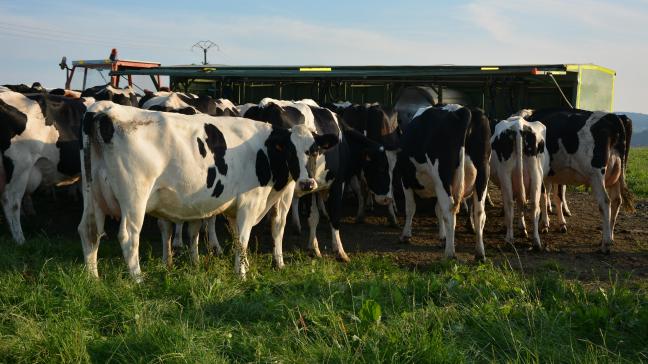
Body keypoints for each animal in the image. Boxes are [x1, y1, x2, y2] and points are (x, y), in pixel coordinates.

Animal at [78, 101, 336, 280]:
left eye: (315, 150)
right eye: (290, 151)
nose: (308, 184)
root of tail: (105, 109)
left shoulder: (234, 207)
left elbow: (235, 237)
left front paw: (243, 266)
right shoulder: (249, 202)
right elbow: (250, 236)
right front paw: (245, 274)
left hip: (92, 195)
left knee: (89, 231)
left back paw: (93, 278)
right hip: (134, 198)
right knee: (129, 236)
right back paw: (138, 279)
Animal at [394, 104, 492, 260]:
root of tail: (463, 110)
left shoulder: (406, 179)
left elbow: (410, 207)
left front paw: (405, 235)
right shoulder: (437, 185)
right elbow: (437, 209)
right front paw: (443, 236)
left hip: (443, 175)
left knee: (449, 209)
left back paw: (449, 254)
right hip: (483, 173)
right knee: (479, 212)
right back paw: (480, 253)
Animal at [492, 116, 548, 250]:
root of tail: (518, 126)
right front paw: (523, 228)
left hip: (505, 174)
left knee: (509, 204)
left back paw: (509, 239)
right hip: (536, 174)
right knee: (534, 206)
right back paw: (536, 241)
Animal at [524, 106, 636, 252]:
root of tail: (613, 117)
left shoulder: (543, 172)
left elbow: (544, 196)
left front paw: (545, 224)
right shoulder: (556, 174)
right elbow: (557, 197)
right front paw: (559, 223)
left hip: (596, 174)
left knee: (605, 201)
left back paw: (605, 244)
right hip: (615, 175)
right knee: (617, 200)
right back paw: (609, 238)